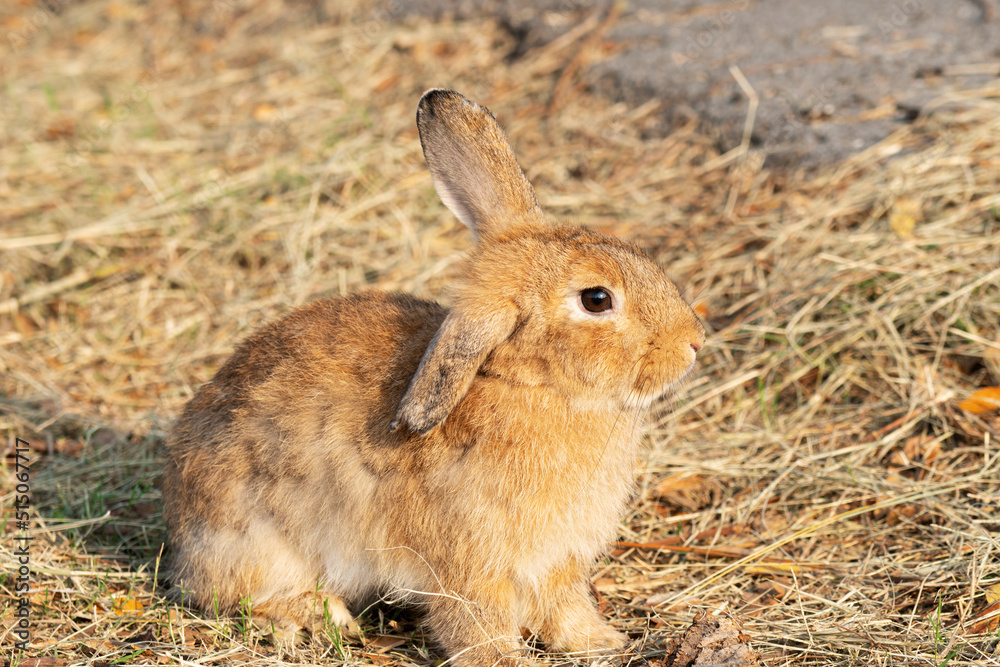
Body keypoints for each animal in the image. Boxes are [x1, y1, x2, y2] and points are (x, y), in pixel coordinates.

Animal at [162, 88, 706, 666]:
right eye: (597, 299)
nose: (694, 341)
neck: (530, 386)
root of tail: (182, 517)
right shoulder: (467, 563)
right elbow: (475, 621)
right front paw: (505, 662)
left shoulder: (558, 559)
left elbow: (564, 603)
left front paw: (599, 642)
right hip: (258, 540)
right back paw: (321, 617)